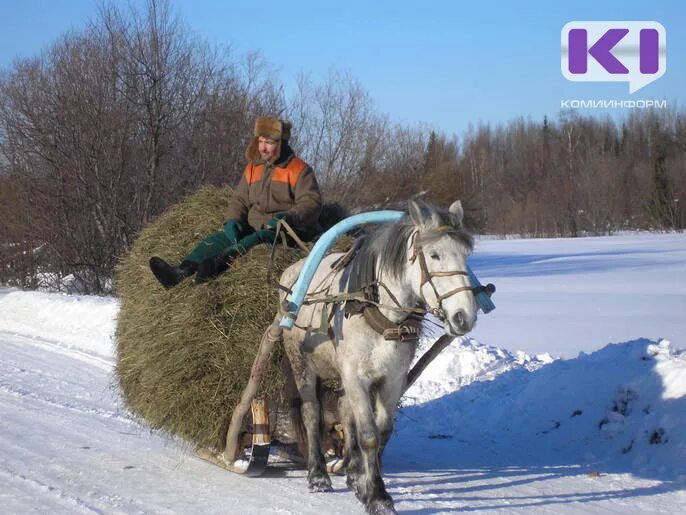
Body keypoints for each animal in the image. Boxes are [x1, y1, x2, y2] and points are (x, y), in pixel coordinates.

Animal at [280, 200, 478, 512]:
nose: (464, 317)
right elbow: (369, 436)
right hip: (302, 363)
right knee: (312, 414)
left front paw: (368, 485)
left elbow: (382, 431)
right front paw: (376, 496)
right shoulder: (356, 376)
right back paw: (318, 474)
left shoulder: (392, 379)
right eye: (434, 255)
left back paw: (351, 473)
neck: (379, 312)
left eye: (466, 256)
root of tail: (292, 271)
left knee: (344, 411)